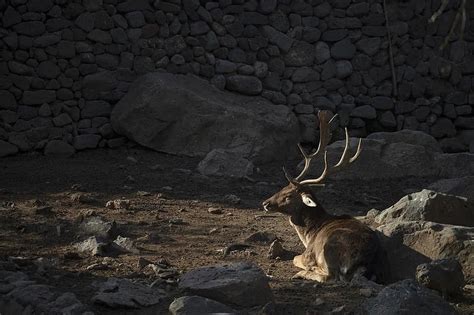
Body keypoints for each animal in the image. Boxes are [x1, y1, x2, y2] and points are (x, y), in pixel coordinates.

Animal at [262, 111, 386, 284]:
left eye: (288, 195)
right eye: (282, 188)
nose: (265, 203)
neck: (309, 234)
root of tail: (364, 264)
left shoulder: (307, 254)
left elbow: (294, 258)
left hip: (328, 250)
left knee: (330, 277)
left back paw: (302, 273)